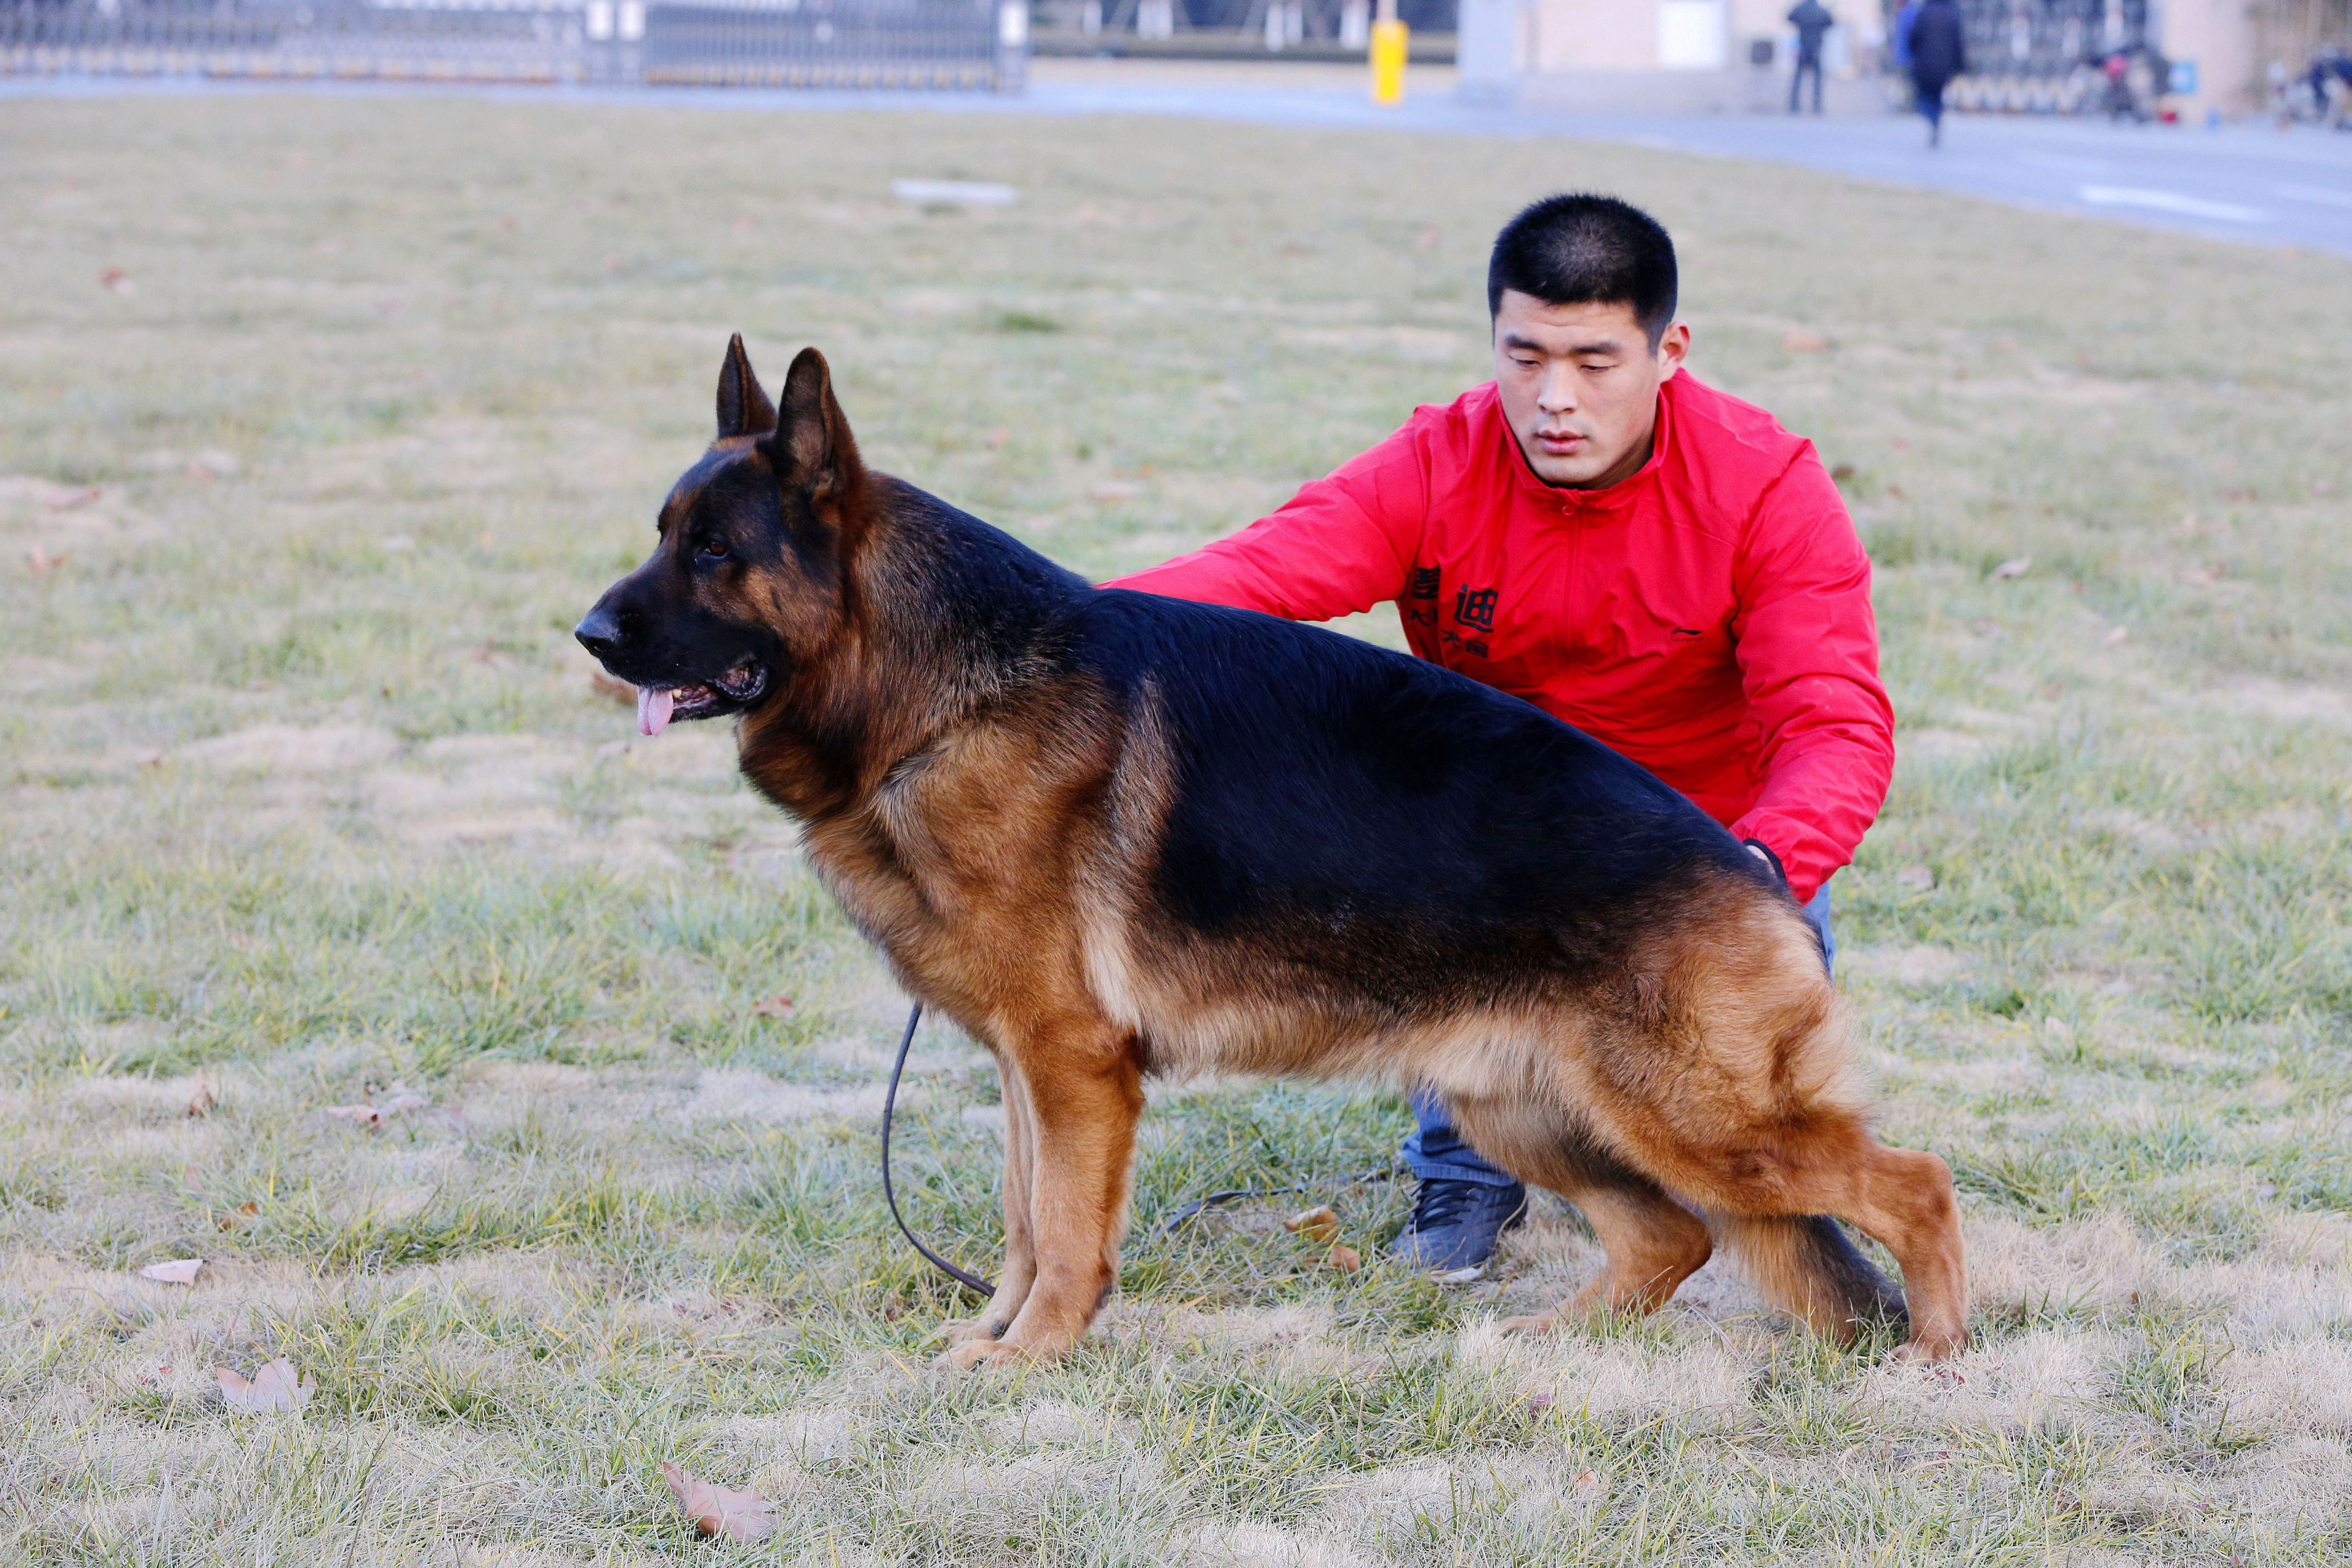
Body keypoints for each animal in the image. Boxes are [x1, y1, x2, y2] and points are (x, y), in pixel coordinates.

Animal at [583, 340, 1966, 1363]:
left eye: (715, 552)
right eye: (658, 531)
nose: (588, 634)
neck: (935, 693)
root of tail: (1750, 871)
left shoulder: (1073, 1064)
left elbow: (1063, 1229)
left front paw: (1032, 1354)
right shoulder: (1029, 1067)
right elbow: (1022, 1218)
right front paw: (997, 1331)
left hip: (1700, 1121)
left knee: (1911, 1181)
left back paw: (1941, 1352)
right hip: (1529, 1108)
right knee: (1671, 1237)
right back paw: (1552, 1339)